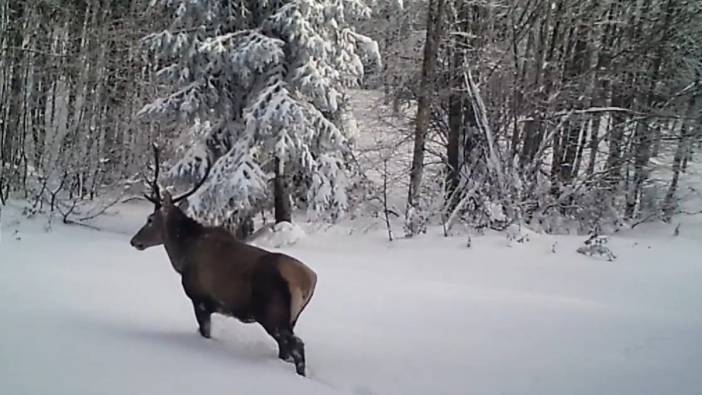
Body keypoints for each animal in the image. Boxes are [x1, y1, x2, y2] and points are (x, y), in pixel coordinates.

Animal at [130, 146, 320, 378]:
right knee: (286, 351)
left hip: (274, 316)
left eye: (150, 219)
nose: (135, 241)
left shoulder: (200, 299)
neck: (181, 257)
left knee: (298, 347)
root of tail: (309, 280)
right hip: (291, 318)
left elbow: (205, 332)